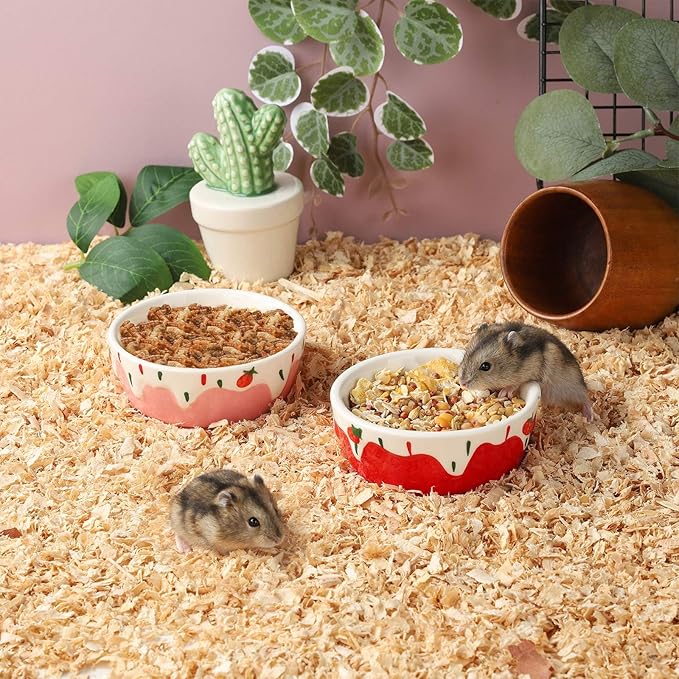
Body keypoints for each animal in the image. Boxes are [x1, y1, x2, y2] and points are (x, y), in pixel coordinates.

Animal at [458, 321, 593, 420]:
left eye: (486, 366)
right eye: (465, 355)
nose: (462, 384)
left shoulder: (533, 371)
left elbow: (517, 383)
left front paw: (504, 392)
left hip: (573, 388)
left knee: (586, 398)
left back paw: (589, 417)